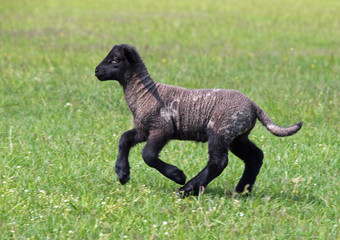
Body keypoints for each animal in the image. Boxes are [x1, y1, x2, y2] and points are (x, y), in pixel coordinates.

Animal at [93, 43, 302, 197]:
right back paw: (241, 192)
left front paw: (177, 175)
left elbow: (148, 155)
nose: (96, 71)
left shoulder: (162, 128)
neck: (143, 92)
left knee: (218, 162)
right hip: (237, 136)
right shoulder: (144, 129)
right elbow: (124, 139)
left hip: (220, 130)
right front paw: (122, 174)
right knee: (255, 157)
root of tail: (253, 105)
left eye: (115, 59)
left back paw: (187, 189)